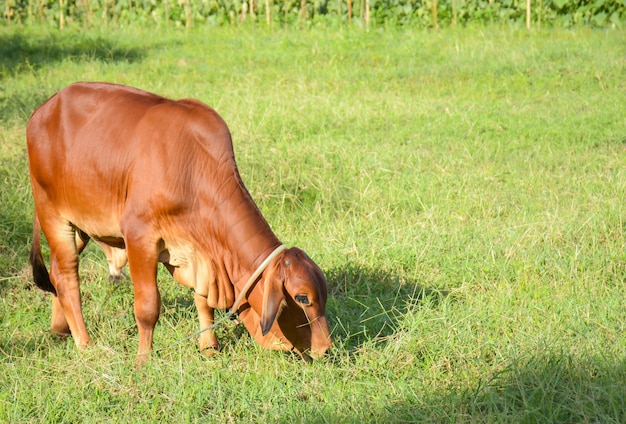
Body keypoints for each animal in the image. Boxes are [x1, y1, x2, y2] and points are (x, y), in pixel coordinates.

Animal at [26, 82, 332, 362]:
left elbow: (203, 301)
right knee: (66, 276)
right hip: (53, 215)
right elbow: (147, 306)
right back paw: (85, 343)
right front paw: (144, 359)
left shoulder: (201, 257)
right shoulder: (139, 235)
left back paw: (61, 329)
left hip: (79, 226)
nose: (325, 350)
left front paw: (209, 347)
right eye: (303, 298)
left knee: (55, 272)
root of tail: (44, 109)